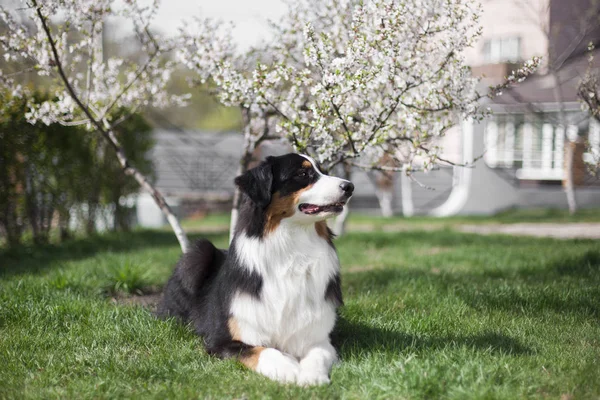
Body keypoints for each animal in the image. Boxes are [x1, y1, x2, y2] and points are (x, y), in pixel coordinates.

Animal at [157, 153, 354, 384]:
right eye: (303, 174)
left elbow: (318, 354)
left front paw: (311, 377)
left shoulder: (322, 337)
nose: (350, 186)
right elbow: (263, 351)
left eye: (323, 171)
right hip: (198, 252)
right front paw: (291, 369)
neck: (292, 248)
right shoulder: (222, 340)